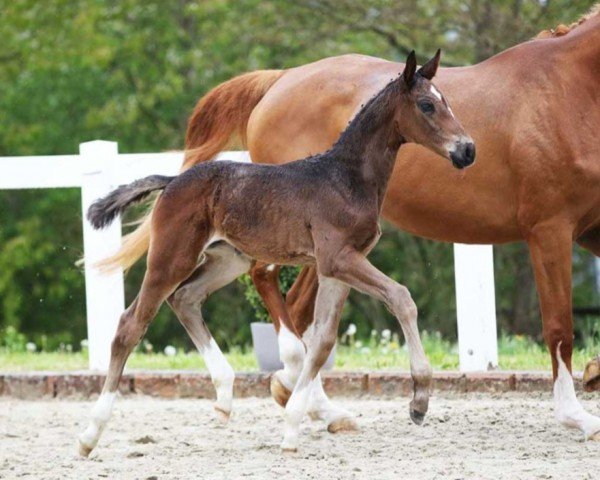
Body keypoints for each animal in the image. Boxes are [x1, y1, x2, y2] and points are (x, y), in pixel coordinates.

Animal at [79, 50, 474, 456]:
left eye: (447, 101)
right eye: (427, 105)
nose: (467, 150)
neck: (345, 178)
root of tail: (172, 181)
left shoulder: (337, 268)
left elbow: (323, 341)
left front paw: (293, 426)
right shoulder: (338, 259)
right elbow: (401, 297)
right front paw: (419, 400)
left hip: (227, 259)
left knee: (185, 299)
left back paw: (224, 398)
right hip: (171, 256)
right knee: (130, 325)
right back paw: (90, 434)